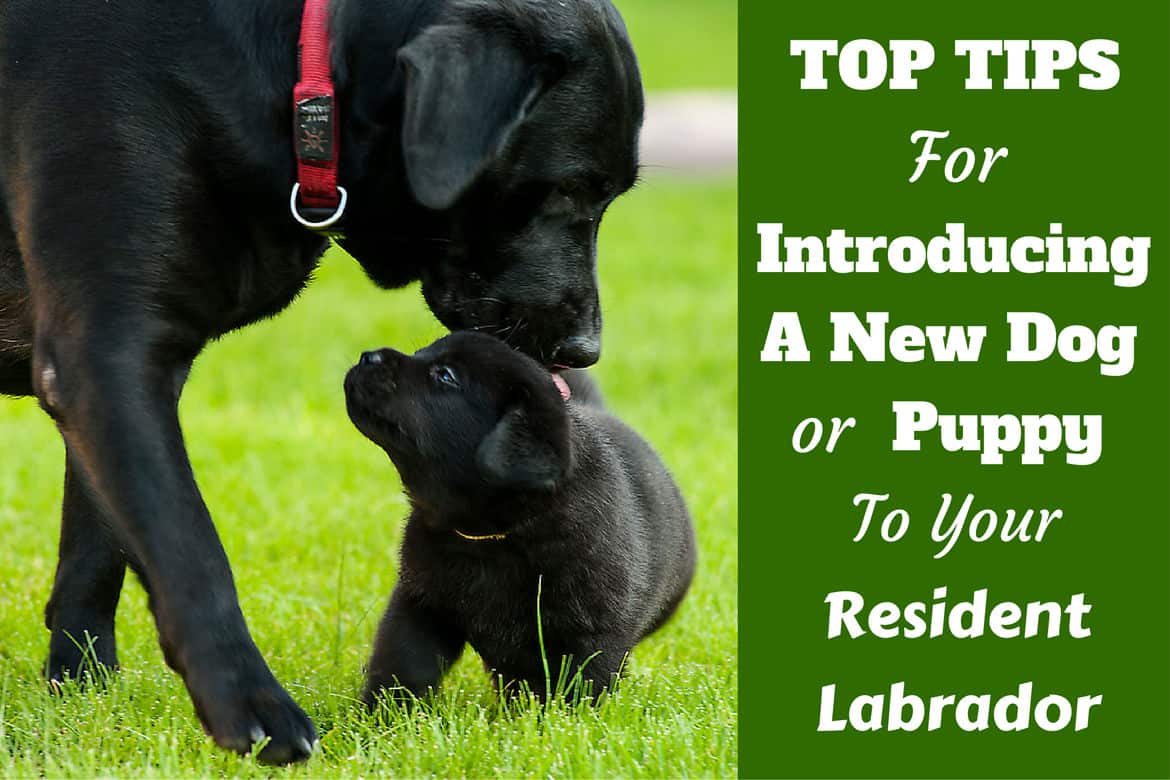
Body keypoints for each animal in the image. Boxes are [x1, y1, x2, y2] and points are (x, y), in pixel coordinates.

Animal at [0, 0, 641, 767]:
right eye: (571, 187)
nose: (586, 350)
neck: (302, 82)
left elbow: (95, 552)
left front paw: (82, 693)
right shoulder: (105, 351)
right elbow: (188, 548)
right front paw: (252, 709)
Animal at [343, 332, 692, 706]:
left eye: (445, 375)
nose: (368, 357)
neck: (492, 534)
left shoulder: (595, 629)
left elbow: (581, 684)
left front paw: (560, 719)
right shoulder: (423, 603)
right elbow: (404, 662)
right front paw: (381, 713)